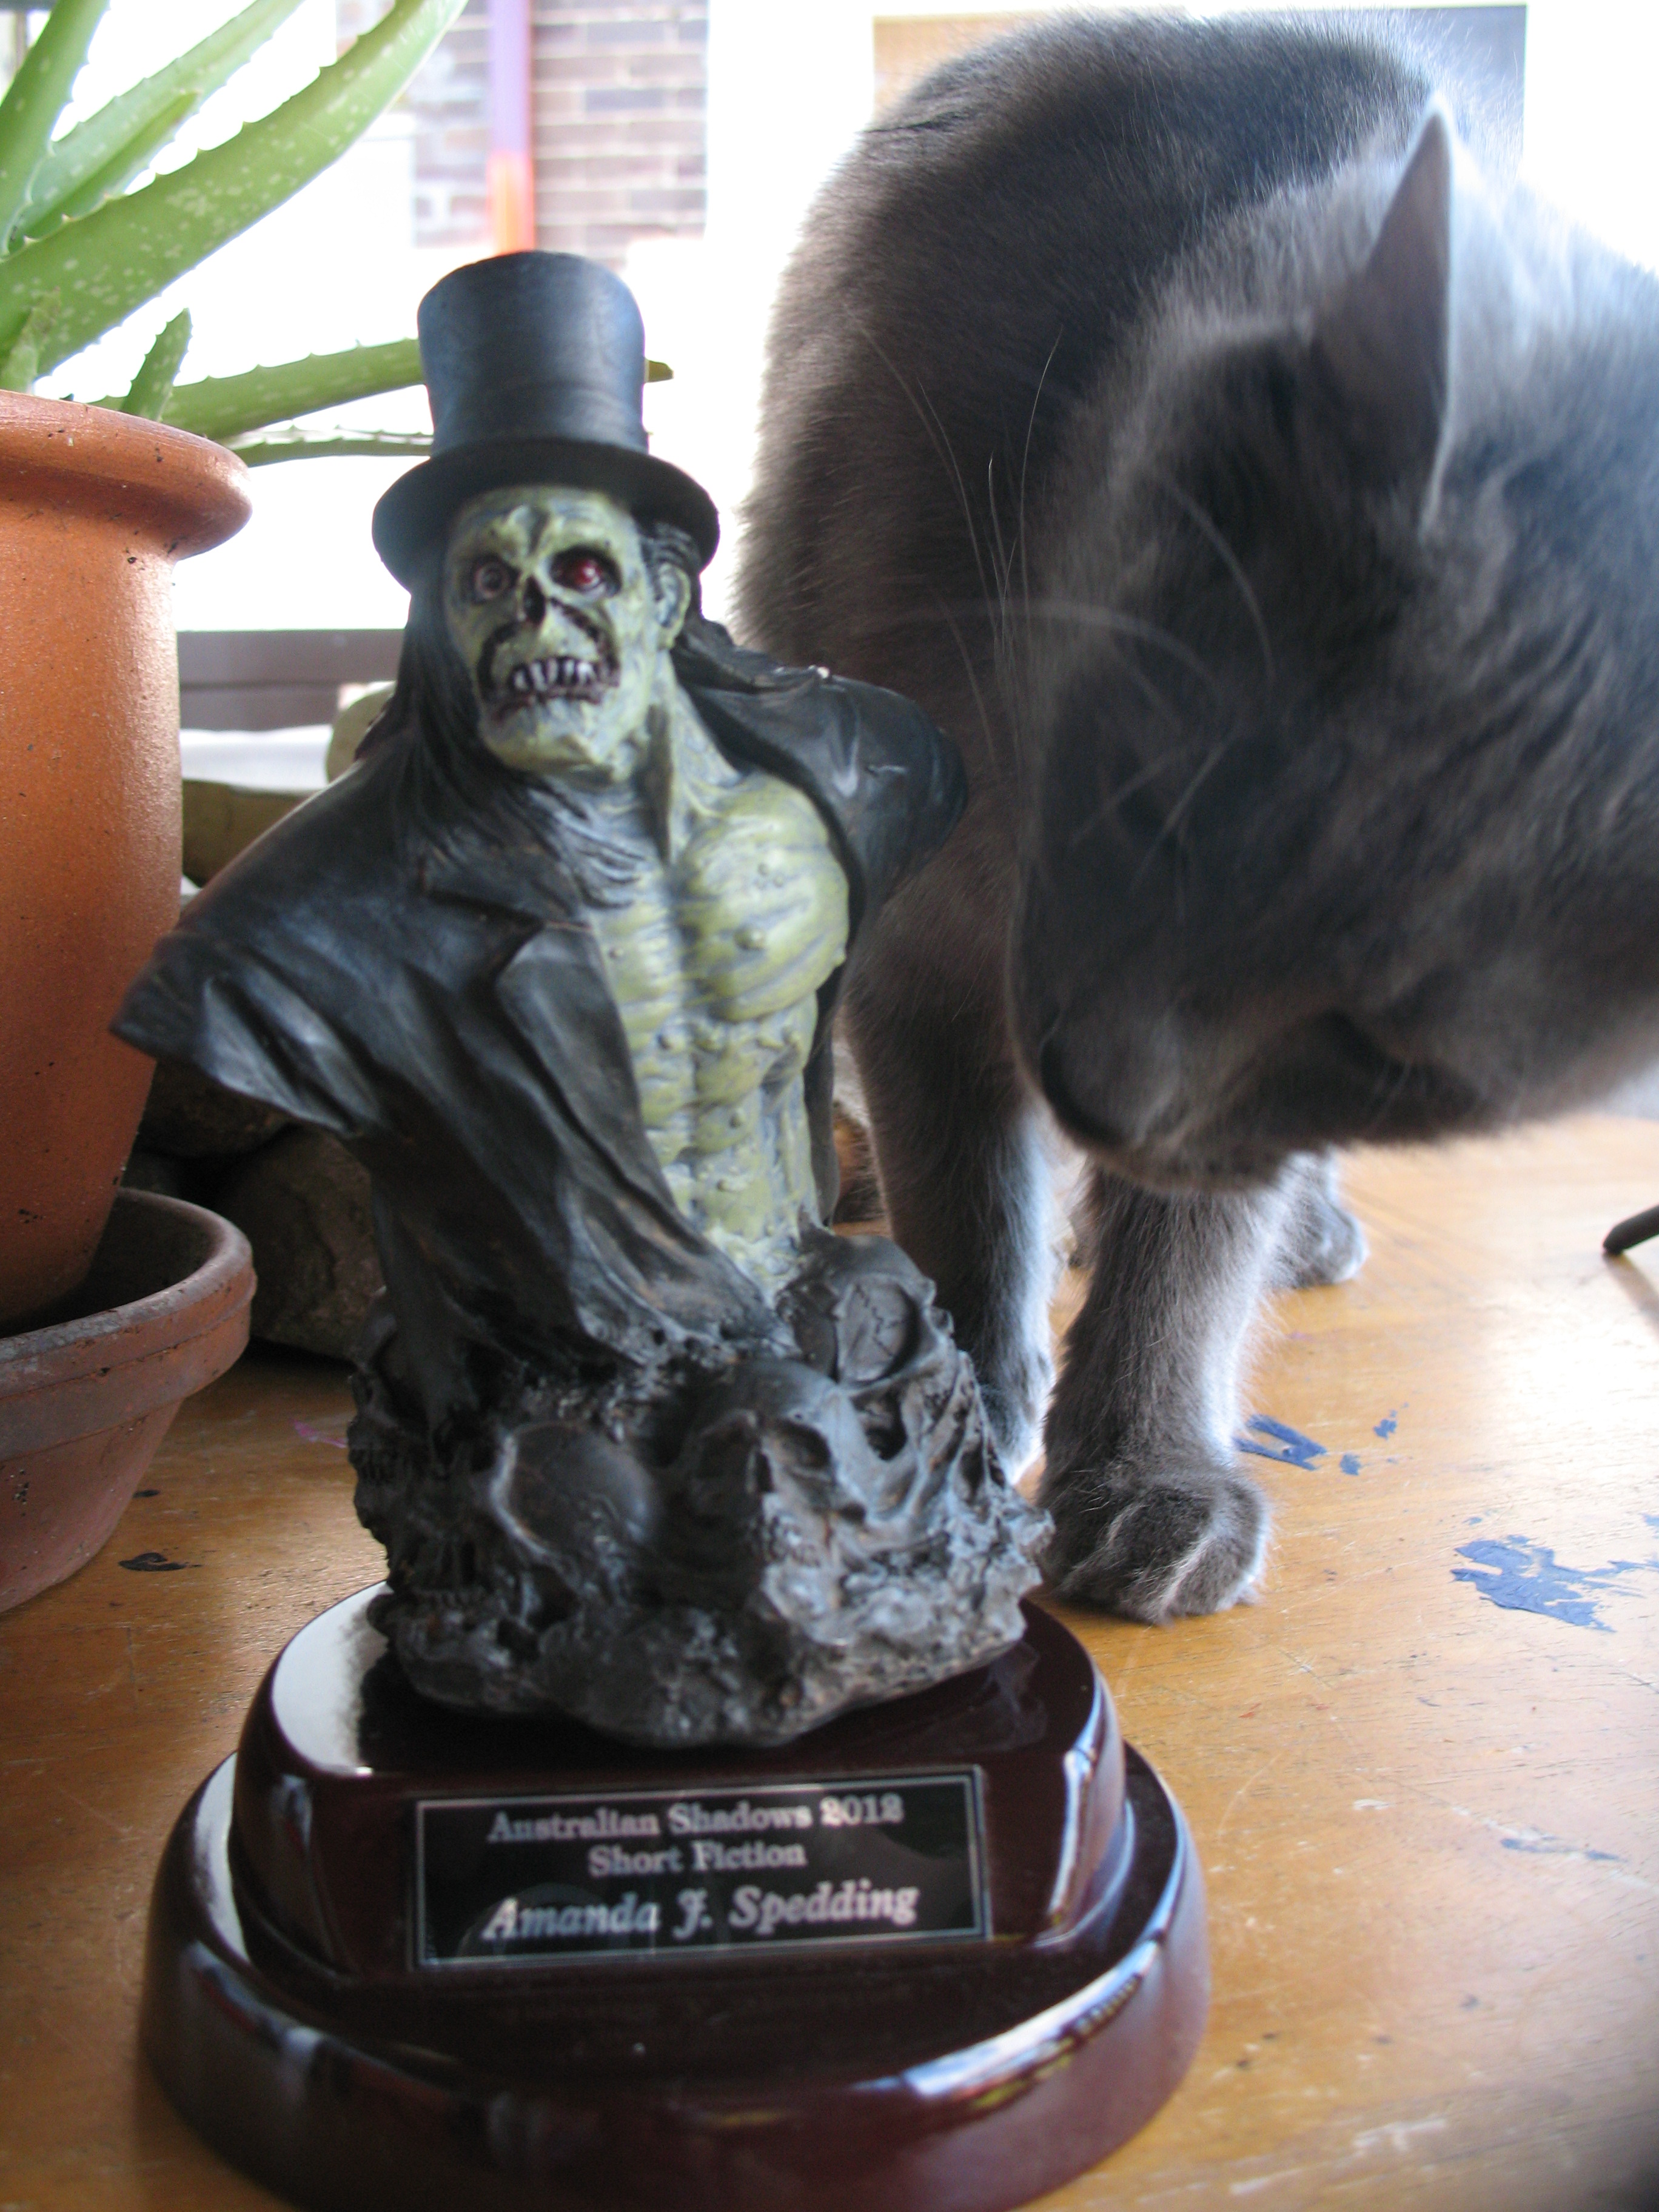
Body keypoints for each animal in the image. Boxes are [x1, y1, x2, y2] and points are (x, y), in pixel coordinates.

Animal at [735, 13, 1659, 1620]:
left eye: (1391, 1054)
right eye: (1153, 809)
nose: (1100, 1089)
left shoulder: (1225, 1111)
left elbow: (1187, 1252)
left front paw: (1143, 1476)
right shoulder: (921, 943)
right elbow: (966, 1198)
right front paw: (957, 1415)